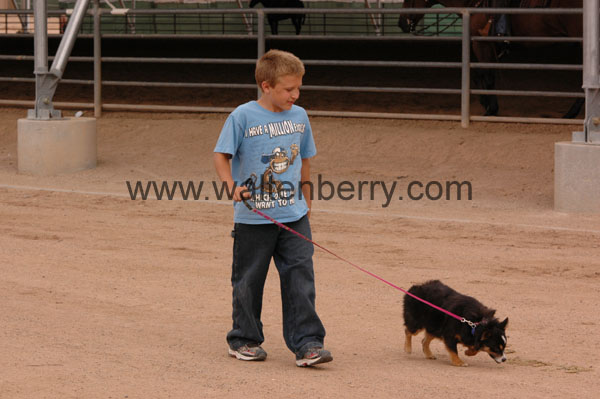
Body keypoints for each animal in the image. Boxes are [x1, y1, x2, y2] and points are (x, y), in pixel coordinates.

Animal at [398, 0, 580, 118]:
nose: (401, 24)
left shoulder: (481, 43)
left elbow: (488, 74)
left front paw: (491, 109)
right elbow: (479, 74)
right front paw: (484, 101)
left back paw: (570, 114)